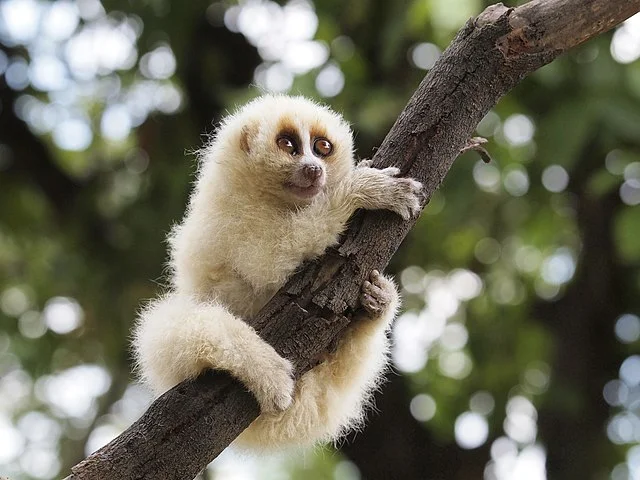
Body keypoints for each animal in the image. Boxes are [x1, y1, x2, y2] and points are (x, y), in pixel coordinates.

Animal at [132, 94, 422, 450]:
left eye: (322, 147)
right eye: (287, 145)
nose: (313, 169)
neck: (271, 199)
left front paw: (379, 298)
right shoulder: (235, 217)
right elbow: (269, 260)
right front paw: (363, 189)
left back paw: (375, 307)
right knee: (168, 326)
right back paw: (264, 370)